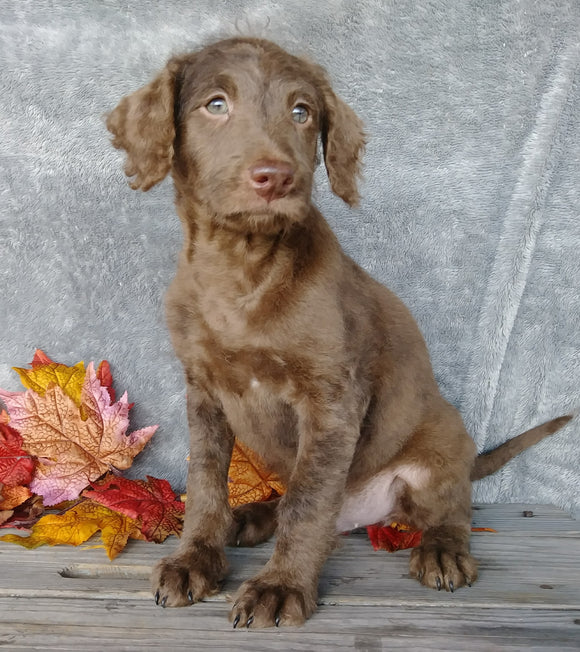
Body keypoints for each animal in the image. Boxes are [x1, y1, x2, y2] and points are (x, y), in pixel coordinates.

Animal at [106, 38, 572, 628]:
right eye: (215, 105)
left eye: (302, 112)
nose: (277, 177)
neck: (242, 268)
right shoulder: (203, 393)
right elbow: (208, 485)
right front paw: (195, 561)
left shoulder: (331, 401)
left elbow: (308, 503)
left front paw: (281, 587)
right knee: (292, 501)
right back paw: (251, 516)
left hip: (437, 450)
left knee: (451, 507)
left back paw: (443, 549)